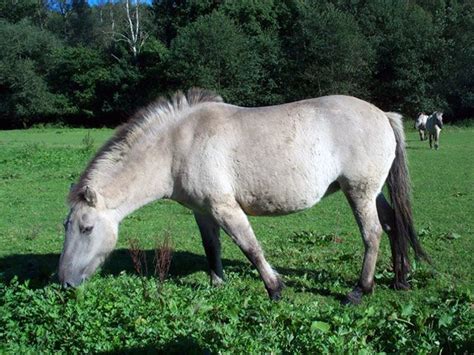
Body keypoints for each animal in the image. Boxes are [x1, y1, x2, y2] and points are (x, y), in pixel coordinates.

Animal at [58, 89, 426, 306]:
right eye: (67, 226)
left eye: (87, 228)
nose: (64, 282)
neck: (178, 144)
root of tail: (383, 115)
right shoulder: (203, 212)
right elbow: (212, 248)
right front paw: (217, 284)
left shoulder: (225, 208)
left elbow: (250, 247)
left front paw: (275, 289)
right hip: (372, 193)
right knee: (393, 226)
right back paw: (400, 279)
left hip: (359, 192)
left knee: (373, 234)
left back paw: (360, 291)